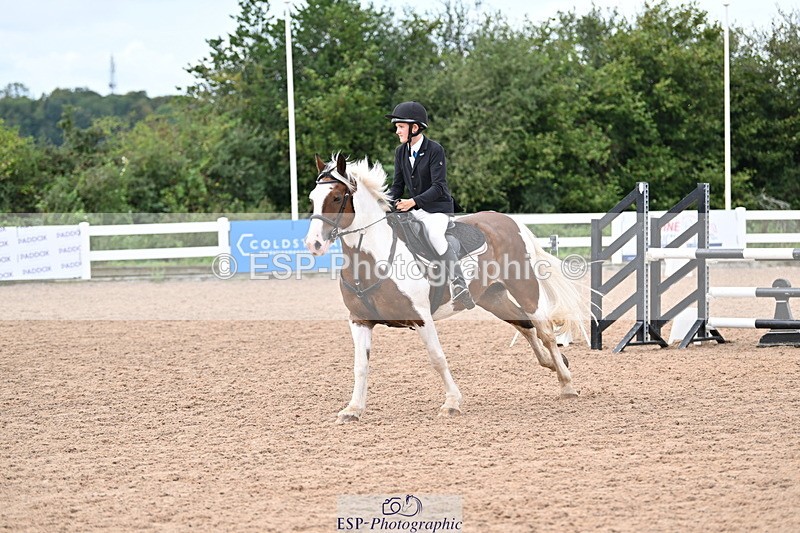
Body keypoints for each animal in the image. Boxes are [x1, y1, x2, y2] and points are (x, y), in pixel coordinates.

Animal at [305, 153, 589, 423]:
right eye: (312, 199)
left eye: (337, 197)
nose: (313, 244)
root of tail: (510, 222)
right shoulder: (359, 320)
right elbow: (360, 366)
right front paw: (353, 409)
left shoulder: (421, 317)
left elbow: (437, 358)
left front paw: (452, 403)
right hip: (492, 297)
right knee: (525, 325)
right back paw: (552, 364)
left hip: (525, 287)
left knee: (545, 331)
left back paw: (566, 384)